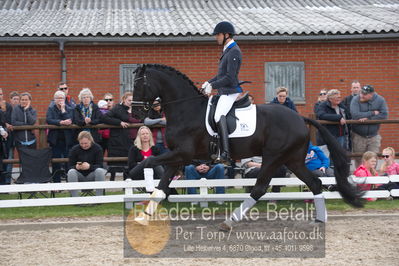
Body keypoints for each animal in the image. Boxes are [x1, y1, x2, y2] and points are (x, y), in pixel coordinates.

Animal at [133, 63, 364, 230]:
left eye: (139, 85)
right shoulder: (177, 156)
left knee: (260, 188)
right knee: (315, 182)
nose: (136, 113)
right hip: (293, 160)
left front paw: (137, 174)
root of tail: (300, 118)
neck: (186, 109)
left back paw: (229, 221)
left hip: (273, 157)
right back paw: (319, 220)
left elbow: (149, 160)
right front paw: (143, 218)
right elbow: (162, 186)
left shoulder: (183, 153)